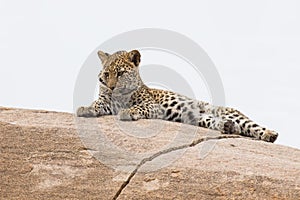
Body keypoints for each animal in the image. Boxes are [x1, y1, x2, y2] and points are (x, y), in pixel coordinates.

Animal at [77, 49, 278, 143]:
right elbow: (97, 104)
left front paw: (128, 112)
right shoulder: (106, 103)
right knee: (223, 124)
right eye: (106, 74)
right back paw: (229, 127)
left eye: (120, 73)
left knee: (250, 124)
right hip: (198, 117)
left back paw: (270, 134)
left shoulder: (152, 105)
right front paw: (85, 108)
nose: (111, 87)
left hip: (225, 111)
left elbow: (138, 106)